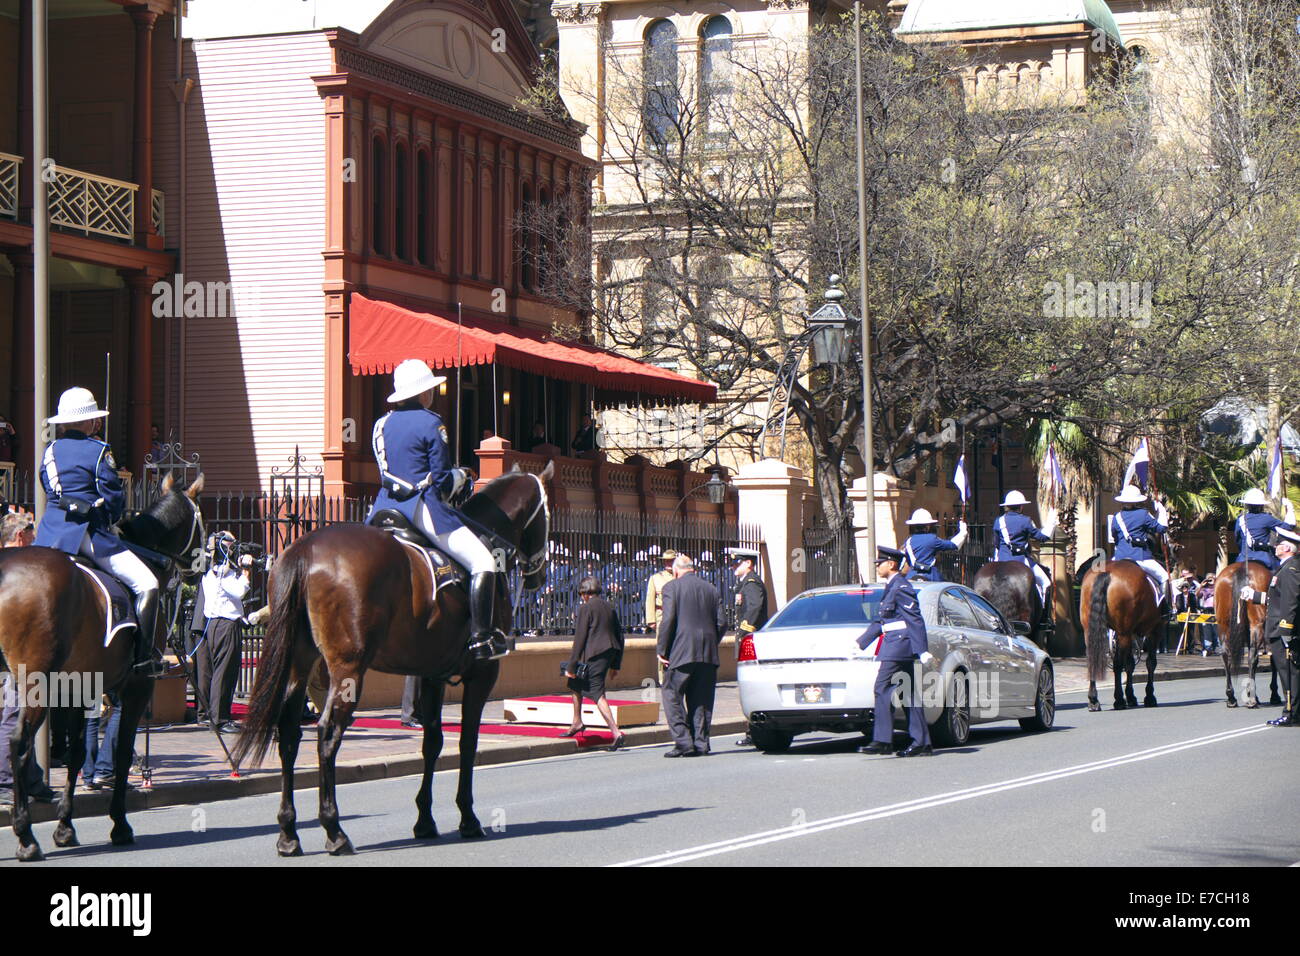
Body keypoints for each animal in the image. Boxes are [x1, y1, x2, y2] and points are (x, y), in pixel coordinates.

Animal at [0, 476, 204, 863]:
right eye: (200, 523)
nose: (199, 569)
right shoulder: (136, 687)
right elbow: (122, 752)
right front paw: (120, 824)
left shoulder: (80, 688)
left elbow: (78, 753)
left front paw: (65, 827)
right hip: (34, 685)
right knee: (18, 743)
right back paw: (25, 836)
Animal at [231, 463, 551, 853]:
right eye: (546, 513)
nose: (539, 575)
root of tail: (305, 548)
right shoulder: (482, 675)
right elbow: (467, 742)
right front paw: (468, 818)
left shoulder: (432, 675)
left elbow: (433, 742)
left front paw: (425, 820)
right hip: (347, 670)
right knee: (327, 733)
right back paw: (334, 830)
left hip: (299, 664)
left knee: (289, 732)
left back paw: (288, 833)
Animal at [1081, 561, 1164, 712]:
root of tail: (1106, 572)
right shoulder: (1155, 630)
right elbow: (1150, 663)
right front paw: (1149, 697)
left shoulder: (1130, 634)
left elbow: (1130, 663)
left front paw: (1131, 697)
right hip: (1124, 632)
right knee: (1118, 665)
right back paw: (1119, 700)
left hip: (1092, 631)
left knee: (1093, 660)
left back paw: (1094, 700)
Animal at [1216, 561, 1279, 712]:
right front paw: (1274, 695)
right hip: (1257, 625)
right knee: (1253, 658)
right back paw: (1251, 700)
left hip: (1223, 625)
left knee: (1226, 655)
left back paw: (1231, 698)